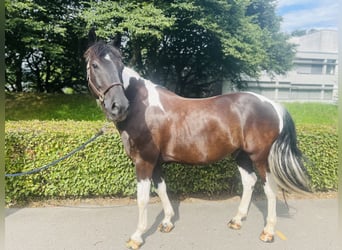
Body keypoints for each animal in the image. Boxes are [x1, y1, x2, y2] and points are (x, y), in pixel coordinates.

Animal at [84, 41, 312, 250]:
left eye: (120, 65)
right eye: (95, 65)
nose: (118, 106)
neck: (143, 108)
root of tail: (273, 105)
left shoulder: (144, 162)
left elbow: (142, 198)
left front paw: (137, 236)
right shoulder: (155, 163)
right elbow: (162, 189)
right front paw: (167, 222)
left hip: (260, 158)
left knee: (270, 189)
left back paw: (268, 232)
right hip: (241, 155)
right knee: (249, 181)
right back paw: (237, 220)